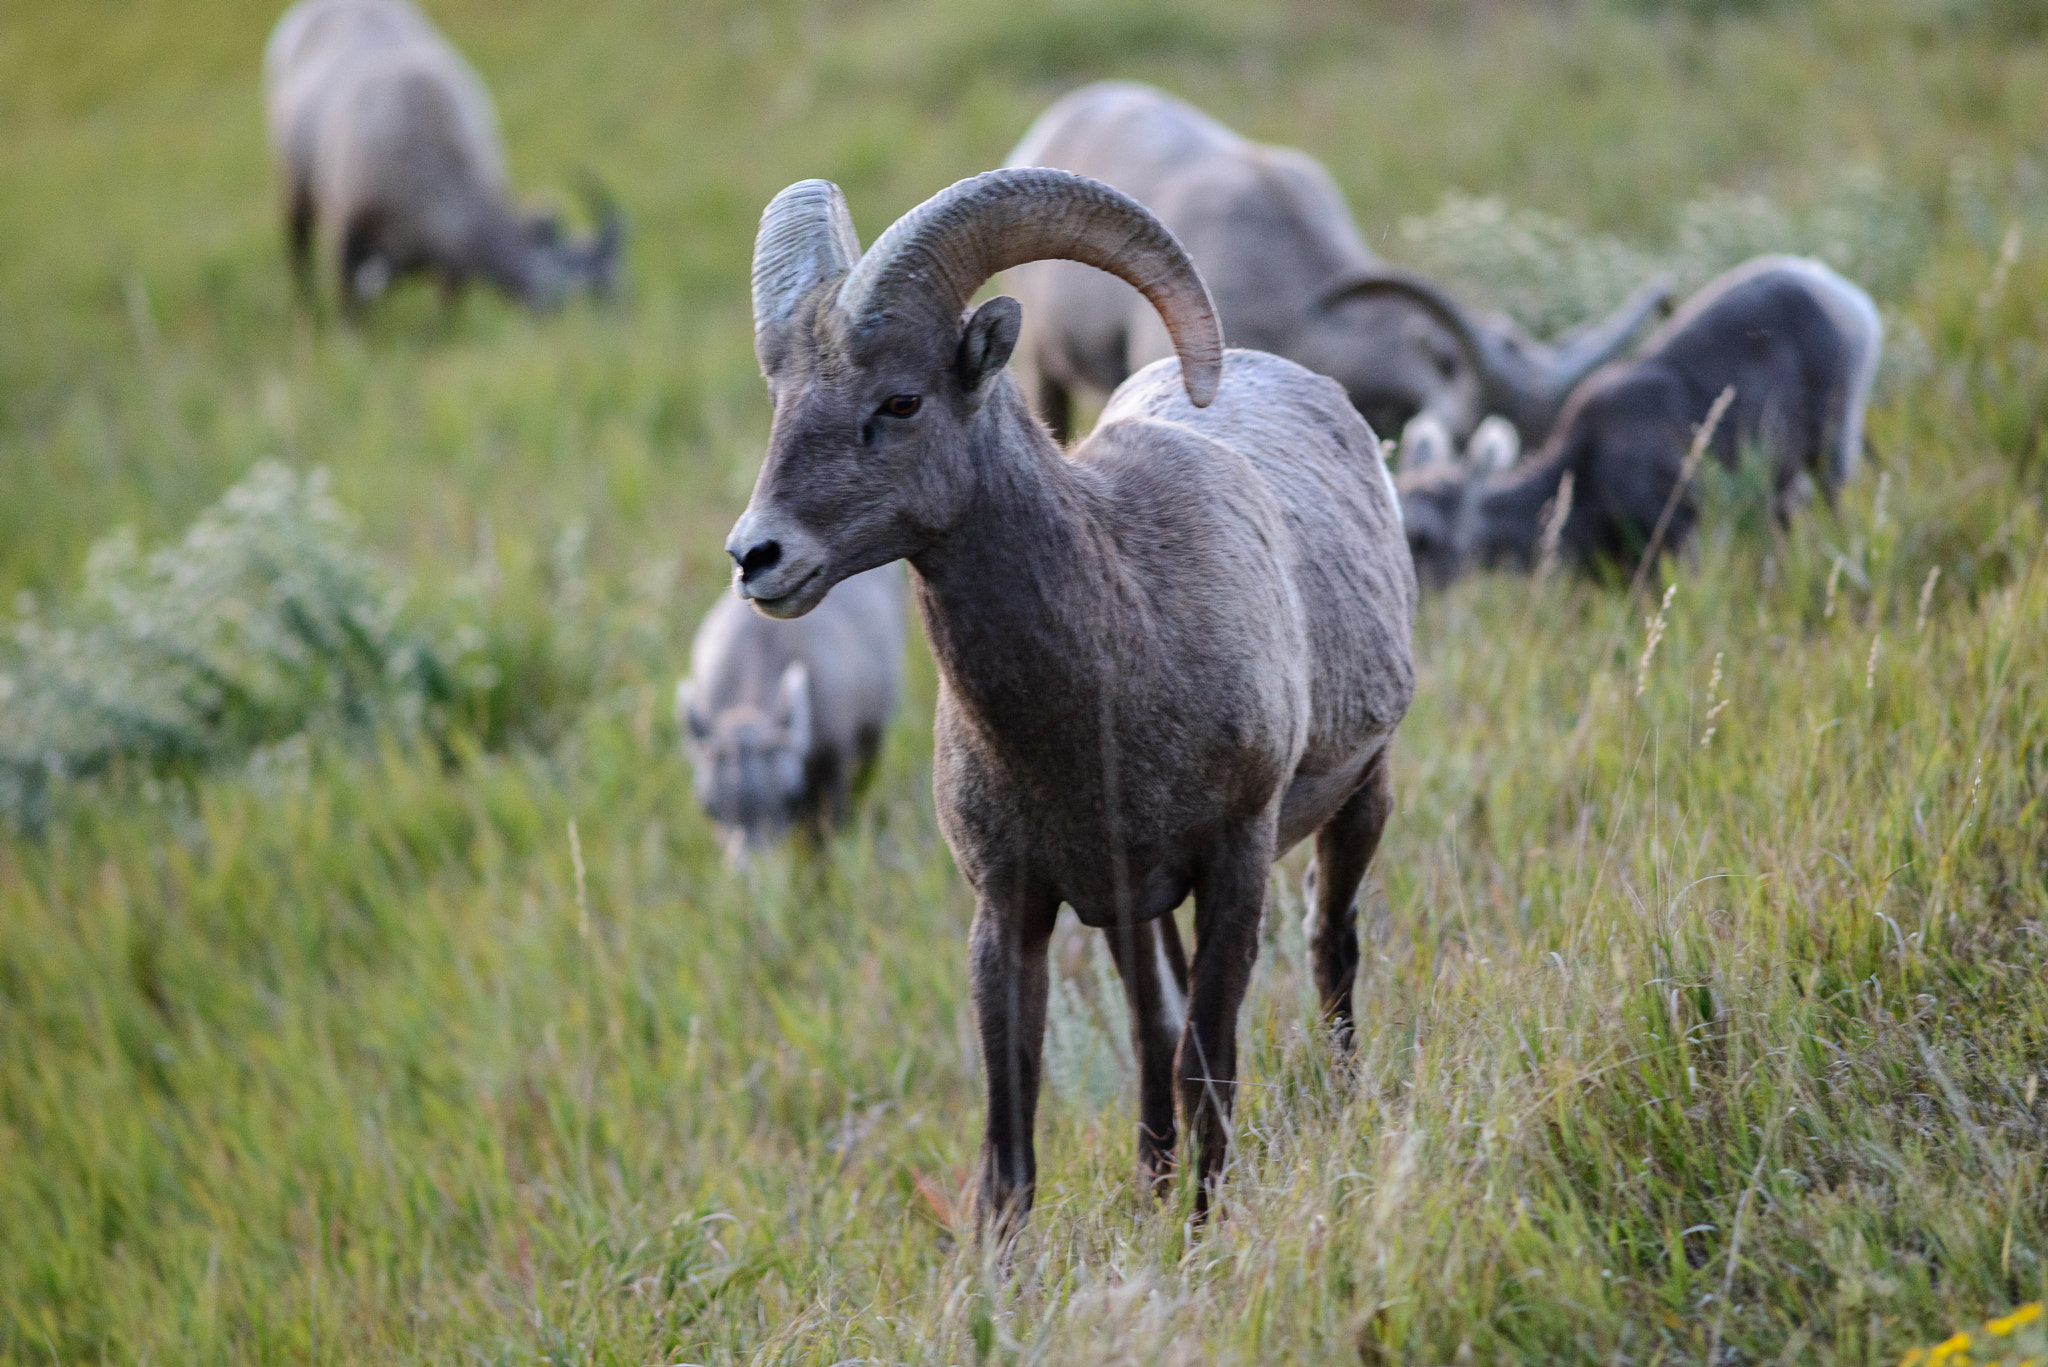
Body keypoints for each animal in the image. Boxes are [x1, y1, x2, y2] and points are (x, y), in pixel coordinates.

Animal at [260, 0, 618, 309]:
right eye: (577, 295)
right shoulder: (347, 235)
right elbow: (350, 311)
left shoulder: (448, 266)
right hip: (293, 188)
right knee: (297, 250)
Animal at [729, 168, 1417, 1229]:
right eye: (782, 396)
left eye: (901, 399)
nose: (757, 557)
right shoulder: (1015, 910)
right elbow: (1012, 1148)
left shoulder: (1235, 862)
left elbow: (1207, 1066)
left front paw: (1202, 1236)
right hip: (1138, 914)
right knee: (1150, 1028)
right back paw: (1151, 1183)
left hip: (1359, 798)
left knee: (1328, 947)